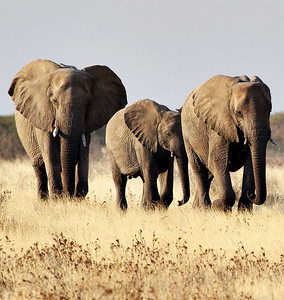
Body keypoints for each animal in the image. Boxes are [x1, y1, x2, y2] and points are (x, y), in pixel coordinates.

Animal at [8, 58, 127, 199]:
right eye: (54, 101)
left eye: (88, 103)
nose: (69, 195)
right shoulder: (43, 114)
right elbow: (50, 150)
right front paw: (58, 198)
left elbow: (83, 152)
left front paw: (77, 197)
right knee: (39, 166)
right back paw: (43, 201)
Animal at [181, 74, 272, 211]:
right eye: (238, 113)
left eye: (269, 111)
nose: (252, 195)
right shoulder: (218, 123)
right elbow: (217, 160)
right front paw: (218, 206)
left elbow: (251, 162)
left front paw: (244, 212)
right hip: (187, 134)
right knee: (199, 168)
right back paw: (205, 208)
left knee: (209, 173)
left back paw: (197, 207)